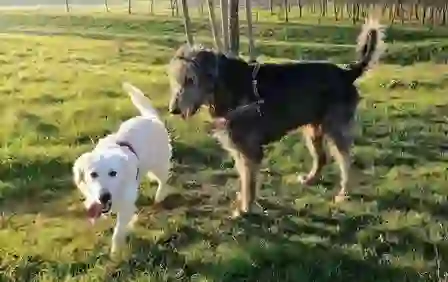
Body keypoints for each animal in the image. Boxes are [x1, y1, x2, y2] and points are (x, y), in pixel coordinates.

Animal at [72, 81, 172, 253]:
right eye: (93, 174)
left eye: (113, 173)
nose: (104, 196)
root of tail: (151, 117)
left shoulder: (126, 205)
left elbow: (118, 232)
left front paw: (115, 252)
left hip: (159, 164)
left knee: (163, 179)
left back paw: (159, 195)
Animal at [167, 18, 384, 217]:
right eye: (175, 79)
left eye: (190, 79)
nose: (173, 110)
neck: (224, 85)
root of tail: (348, 73)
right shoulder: (240, 148)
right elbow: (245, 179)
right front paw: (243, 203)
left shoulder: (249, 149)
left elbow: (249, 182)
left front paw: (244, 209)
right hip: (313, 128)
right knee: (321, 158)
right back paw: (310, 179)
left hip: (335, 129)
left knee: (346, 161)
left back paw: (343, 193)